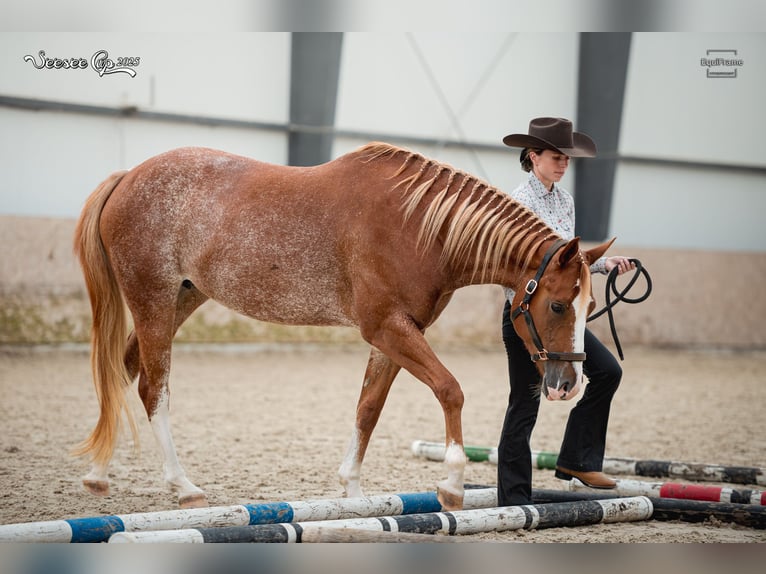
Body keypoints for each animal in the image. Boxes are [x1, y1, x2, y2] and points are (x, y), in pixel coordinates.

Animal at [73, 142, 613, 510]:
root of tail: (128, 176)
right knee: (154, 390)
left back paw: (98, 475)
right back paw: (183, 486)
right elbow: (450, 389)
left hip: (182, 297)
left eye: (590, 303)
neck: (422, 228)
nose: (568, 384)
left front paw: (353, 491)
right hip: (153, 300)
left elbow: (368, 409)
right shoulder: (387, 328)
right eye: (559, 306)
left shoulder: (397, 333)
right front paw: (452, 483)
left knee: (123, 371)